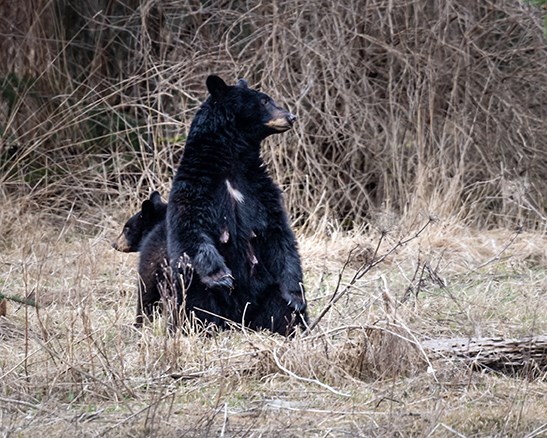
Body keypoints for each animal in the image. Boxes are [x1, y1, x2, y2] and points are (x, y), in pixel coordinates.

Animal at [167, 76, 308, 336]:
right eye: (264, 101)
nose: (291, 116)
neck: (232, 161)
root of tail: (238, 322)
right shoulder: (194, 186)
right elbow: (190, 228)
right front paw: (221, 276)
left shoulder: (261, 190)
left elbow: (280, 235)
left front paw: (295, 296)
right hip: (194, 291)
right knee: (196, 302)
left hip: (267, 291)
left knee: (280, 309)